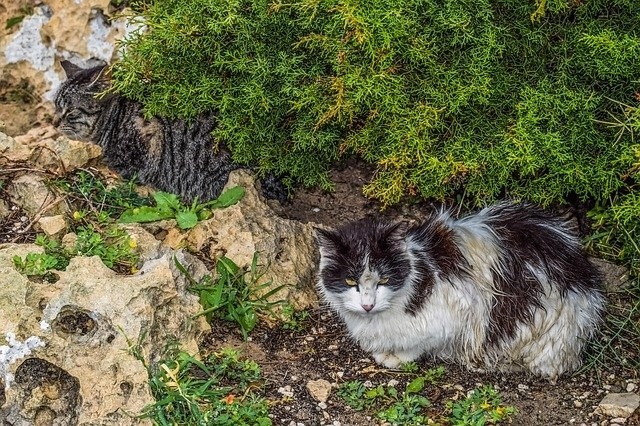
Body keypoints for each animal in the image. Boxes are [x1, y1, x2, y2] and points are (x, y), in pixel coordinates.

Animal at [318, 203, 608, 380]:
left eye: (384, 280)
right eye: (350, 281)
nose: (367, 305)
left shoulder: (455, 311)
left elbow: (420, 343)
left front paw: (396, 357)